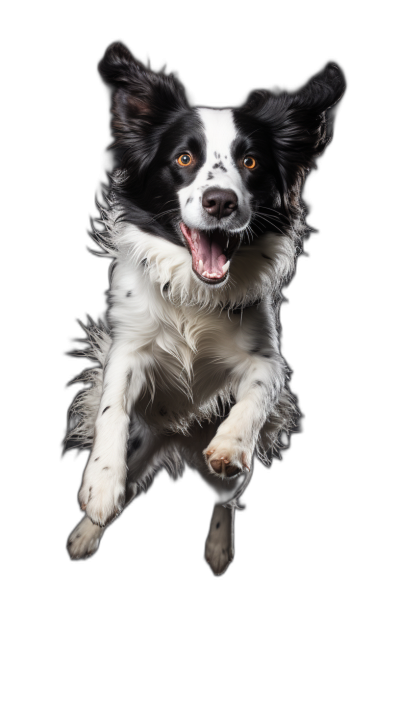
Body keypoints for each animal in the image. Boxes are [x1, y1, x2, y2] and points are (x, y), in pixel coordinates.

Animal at [65, 43, 344, 572]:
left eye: (250, 162)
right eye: (185, 157)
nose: (219, 201)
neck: (195, 294)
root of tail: (176, 434)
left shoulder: (268, 359)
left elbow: (256, 392)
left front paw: (231, 442)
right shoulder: (127, 349)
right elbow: (113, 407)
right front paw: (100, 483)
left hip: (228, 474)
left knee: (225, 497)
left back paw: (218, 548)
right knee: (128, 489)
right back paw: (86, 532)